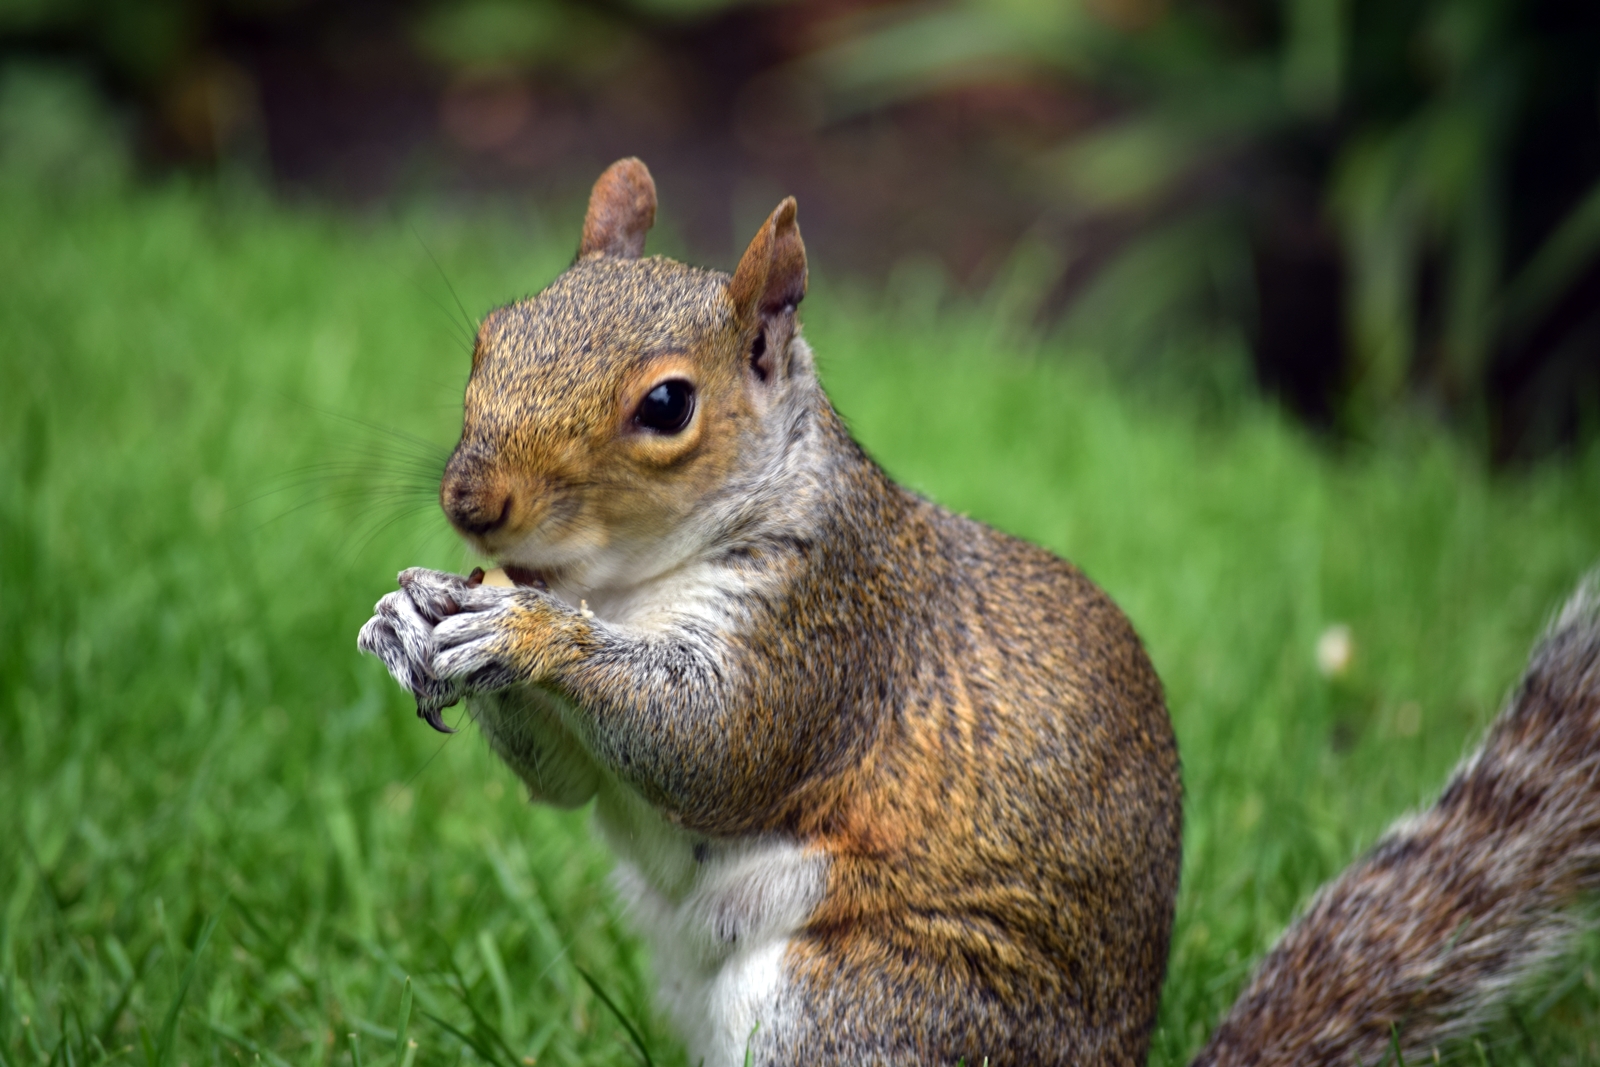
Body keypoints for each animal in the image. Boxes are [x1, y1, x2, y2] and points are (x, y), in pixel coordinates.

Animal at [363, 158, 1600, 1067]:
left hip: (863, 1008)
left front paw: (526, 634)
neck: (616, 579)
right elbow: (565, 782)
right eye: (490, 331)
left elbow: (715, 745)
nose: (470, 500)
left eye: (666, 404)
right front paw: (415, 612)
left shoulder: (827, 626)